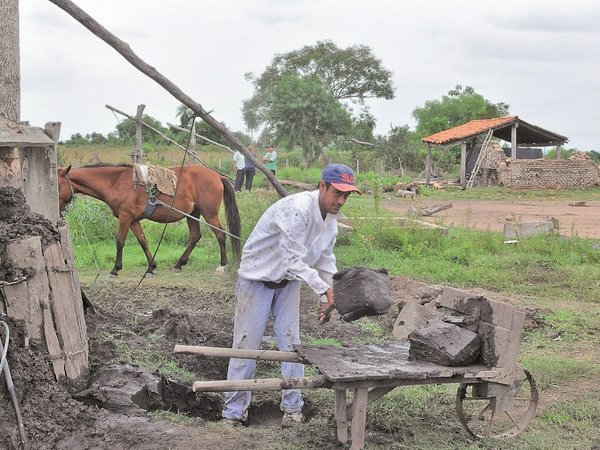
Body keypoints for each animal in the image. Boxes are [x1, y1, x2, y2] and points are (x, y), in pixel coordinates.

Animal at [57, 163, 241, 276]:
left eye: (57, 186)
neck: (116, 182)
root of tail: (217, 176)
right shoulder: (133, 220)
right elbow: (143, 242)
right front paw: (151, 267)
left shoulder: (125, 218)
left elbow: (120, 241)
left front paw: (115, 269)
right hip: (194, 214)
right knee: (195, 236)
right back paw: (179, 264)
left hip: (209, 214)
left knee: (221, 235)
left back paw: (222, 266)